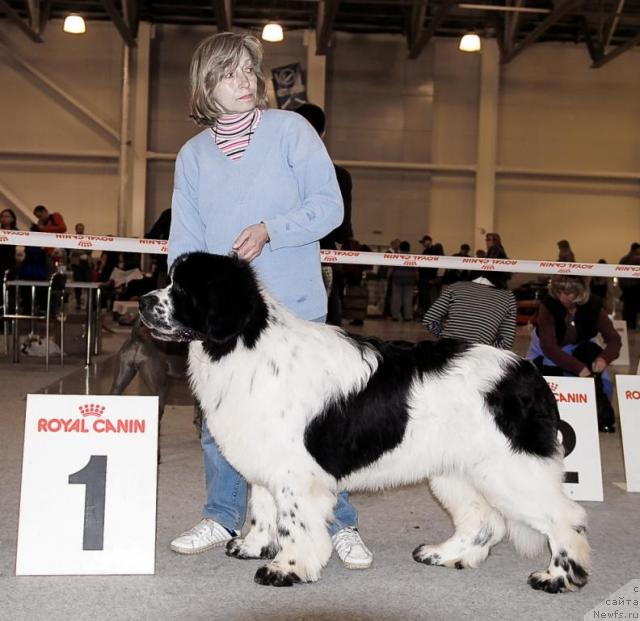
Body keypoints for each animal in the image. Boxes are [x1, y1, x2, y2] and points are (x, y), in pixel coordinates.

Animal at [139, 251, 592, 592]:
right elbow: (261, 507)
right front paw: (253, 546)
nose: (143, 302)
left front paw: (286, 568)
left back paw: (557, 577)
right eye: (169, 281)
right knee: (485, 521)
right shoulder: (266, 459)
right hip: (458, 470)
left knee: (564, 516)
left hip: (511, 469)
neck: (243, 344)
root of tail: (529, 372)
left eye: (184, 289)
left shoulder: (296, 474)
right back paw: (445, 555)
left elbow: (292, 523)